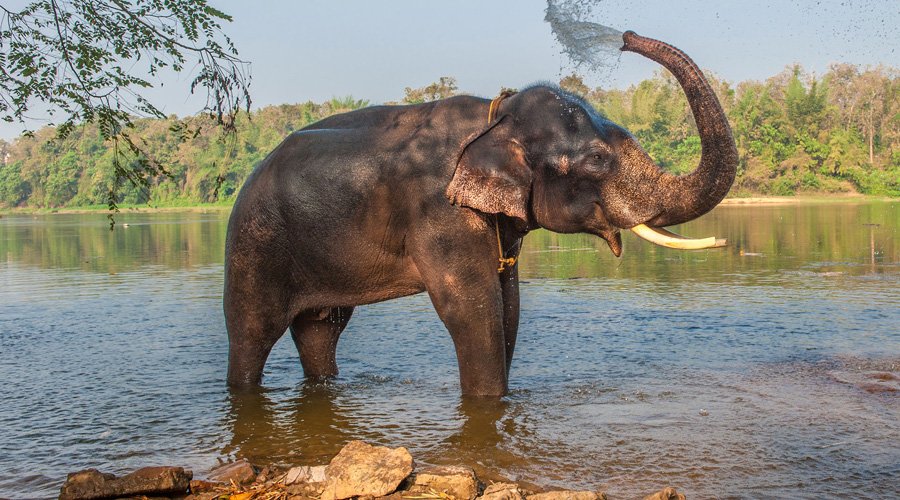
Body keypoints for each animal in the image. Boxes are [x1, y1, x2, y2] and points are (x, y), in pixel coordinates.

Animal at [225, 32, 740, 398]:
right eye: (596, 159)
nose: (627, 37)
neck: (496, 115)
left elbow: (508, 304)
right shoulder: (440, 211)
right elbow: (472, 309)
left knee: (320, 330)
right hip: (254, 242)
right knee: (252, 332)